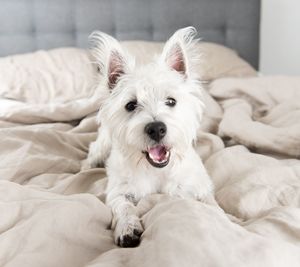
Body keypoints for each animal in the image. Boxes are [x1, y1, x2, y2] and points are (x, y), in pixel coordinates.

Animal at [85, 27, 213, 249]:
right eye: (131, 105)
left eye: (171, 101)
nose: (156, 129)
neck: (156, 171)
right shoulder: (118, 190)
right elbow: (124, 206)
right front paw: (127, 229)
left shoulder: (199, 185)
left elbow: (212, 206)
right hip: (102, 146)